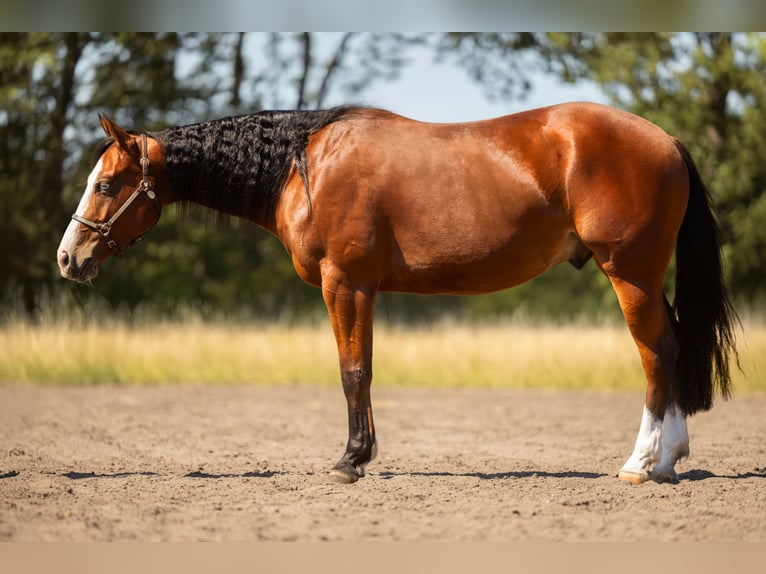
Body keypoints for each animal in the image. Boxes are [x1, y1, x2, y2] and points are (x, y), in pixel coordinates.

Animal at [57, 102, 738, 485]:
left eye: (108, 183)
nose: (69, 258)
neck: (306, 166)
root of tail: (666, 141)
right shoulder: (364, 289)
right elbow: (363, 369)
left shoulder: (347, 283)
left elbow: (352, 370)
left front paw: (351, 460)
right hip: (644, 278)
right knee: (675, 349)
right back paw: (670, 459)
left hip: (630, 275)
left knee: (656, 355)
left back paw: (641, 465)